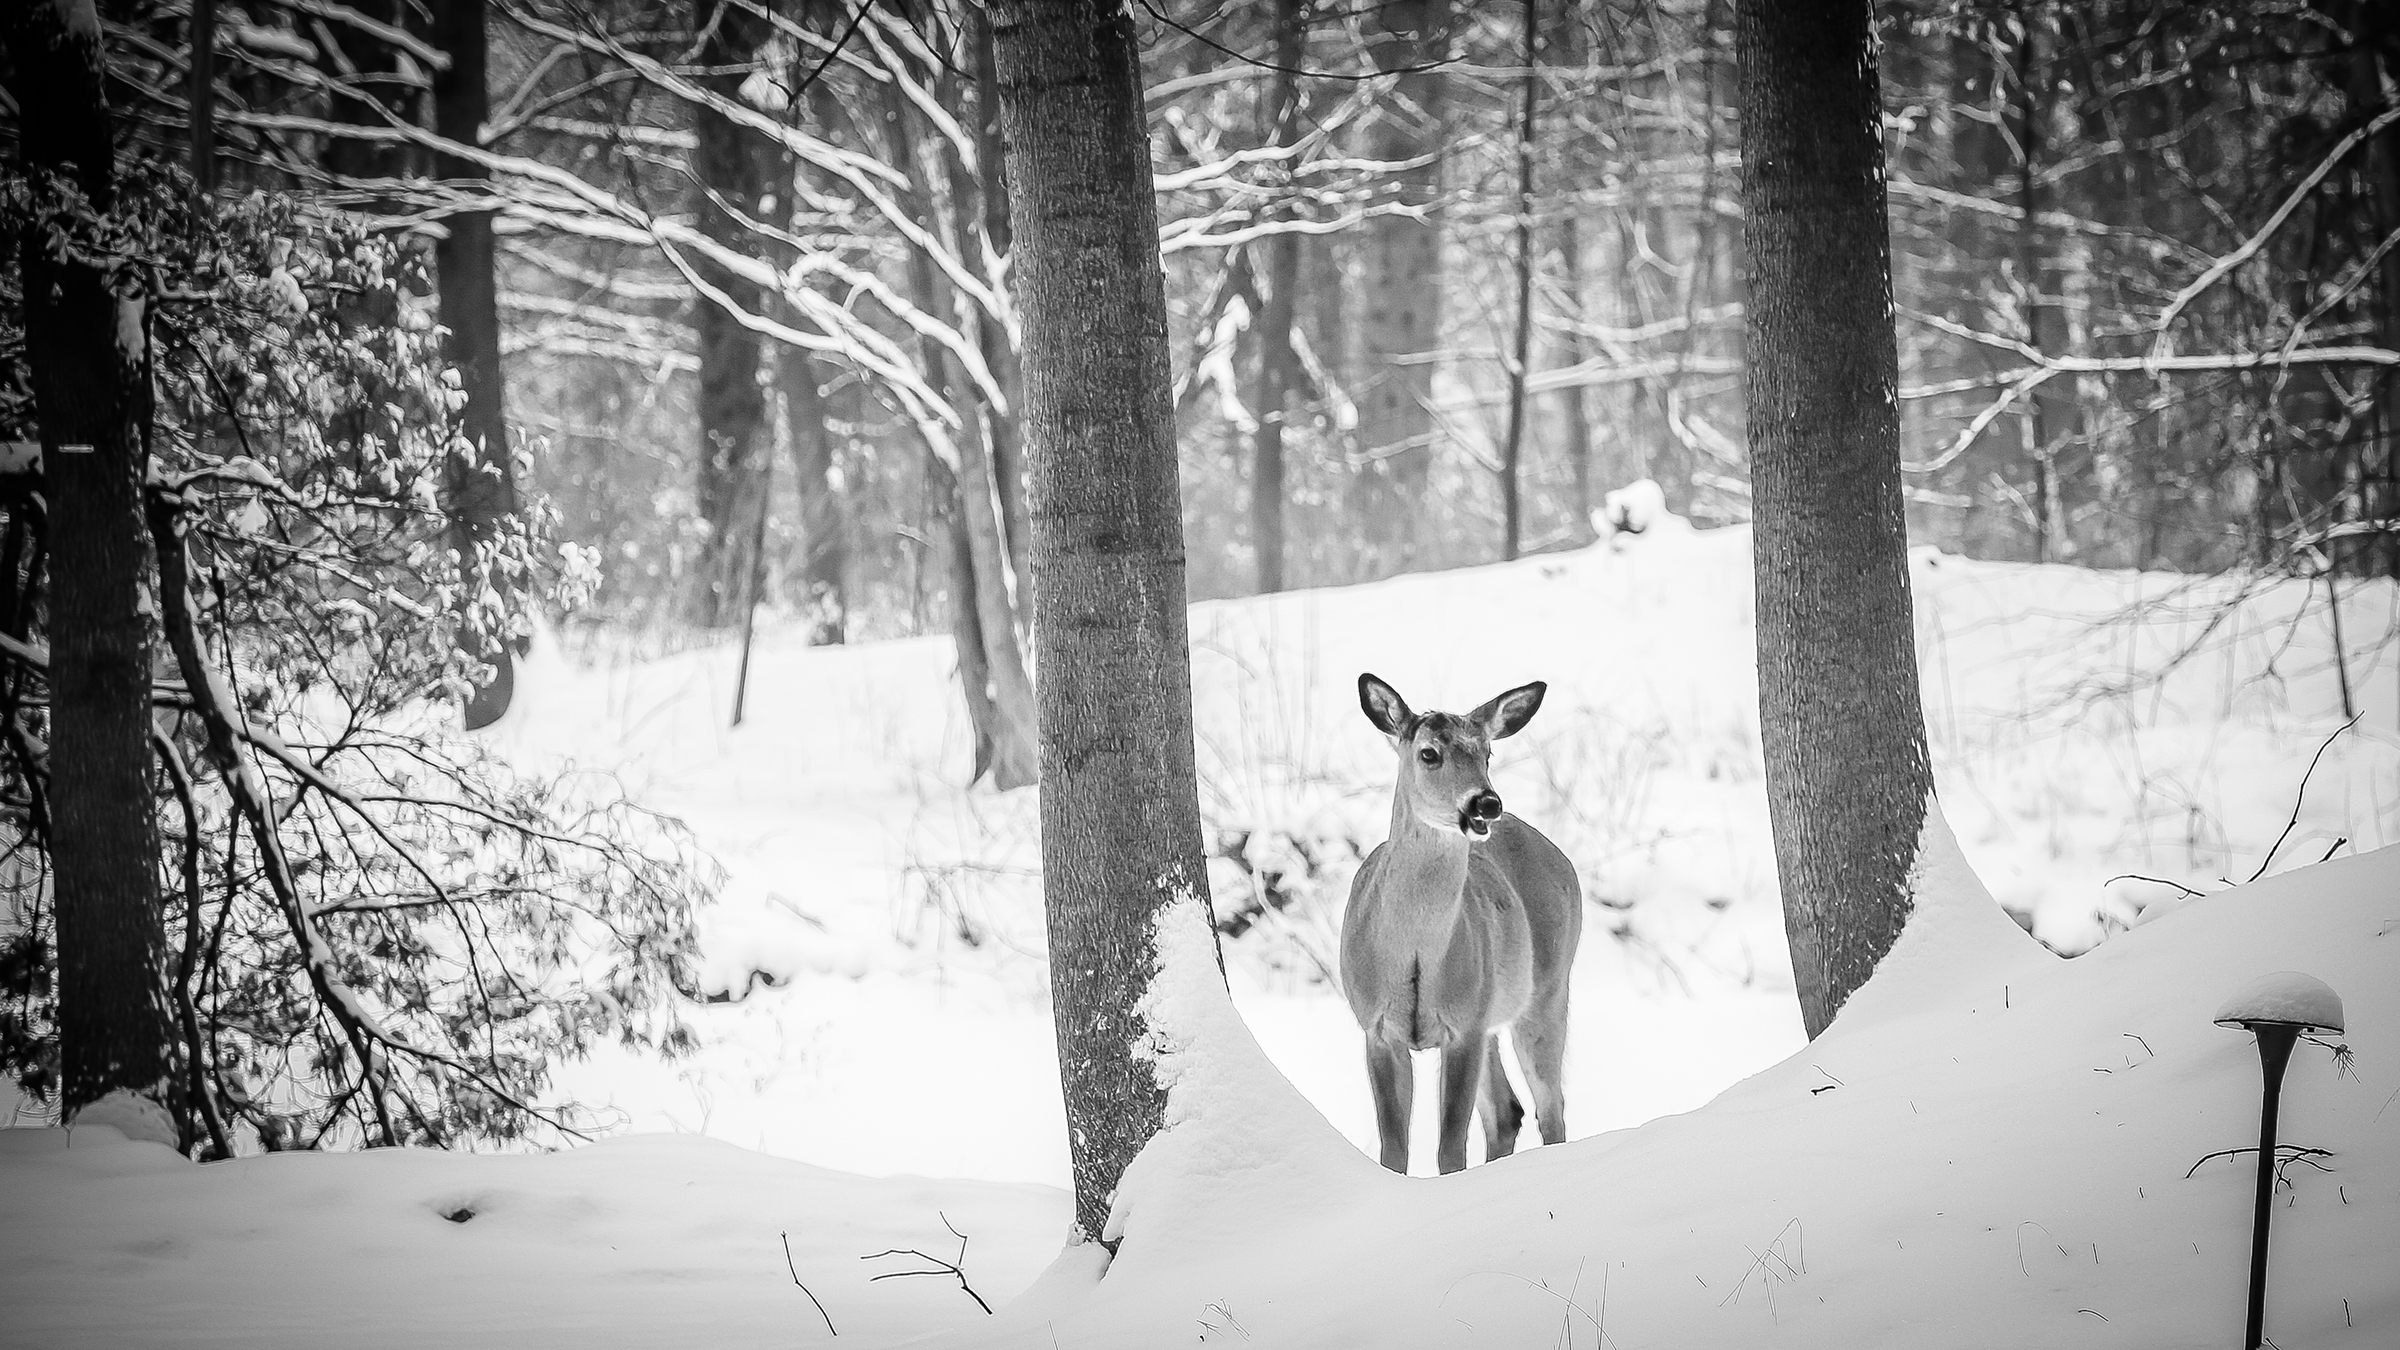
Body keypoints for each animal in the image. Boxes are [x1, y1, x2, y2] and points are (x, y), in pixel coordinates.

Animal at [1344, 667, 1584, 1167]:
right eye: (1429, 753)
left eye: (1487, 752)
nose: (1485, 803)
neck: (1415, 954)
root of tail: (1562, 859)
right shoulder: (1377, 1027)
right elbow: (1393, 1148)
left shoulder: (1463, 1028)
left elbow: (1450, 1148)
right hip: (1495, 1011)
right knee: (1507, 1111)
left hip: (1549, 991)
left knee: (1550, 1106)